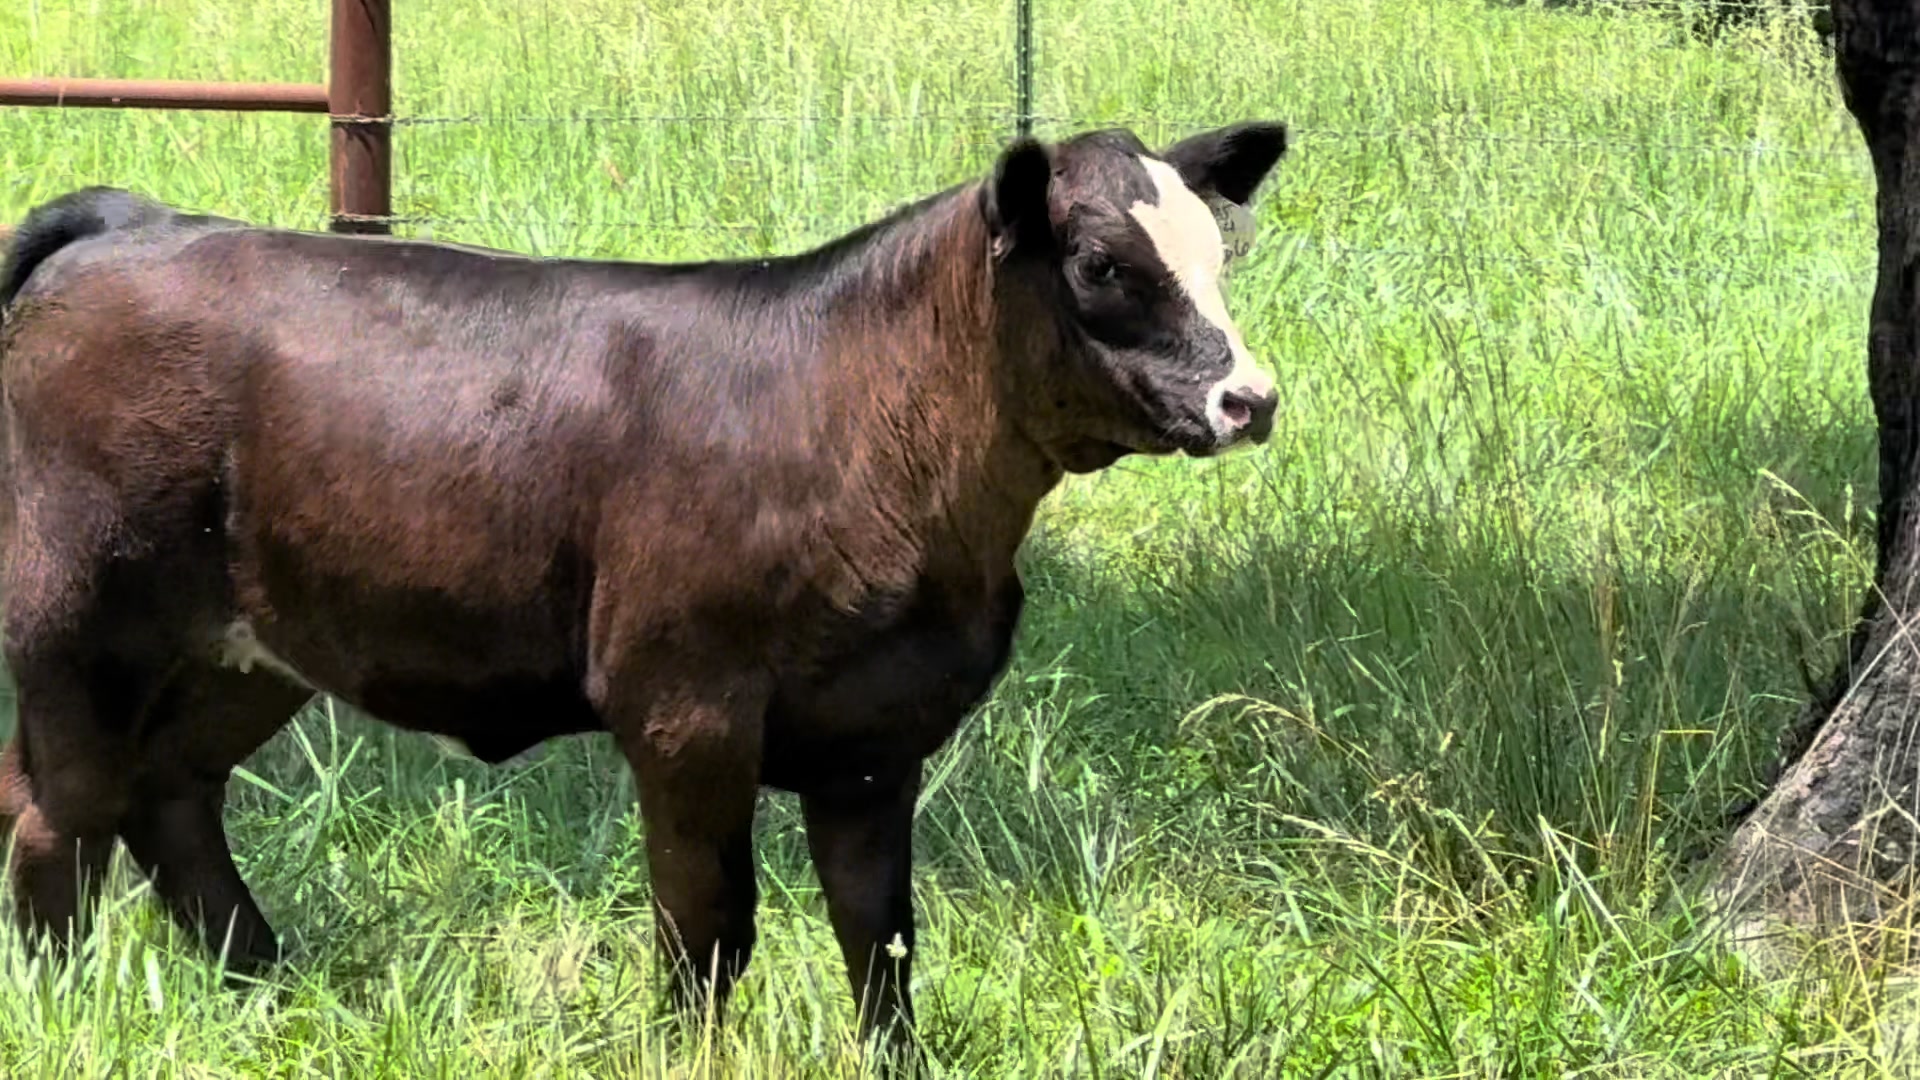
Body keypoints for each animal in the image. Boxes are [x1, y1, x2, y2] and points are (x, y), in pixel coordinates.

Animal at [0, 120, 1288, 1059]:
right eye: (1102, 264)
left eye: (1219, 258)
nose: (1251, 398)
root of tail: (136, 222)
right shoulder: (685, 711)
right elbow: (706, 925)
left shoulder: (877, 734)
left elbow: (879, 931)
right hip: (77, 620)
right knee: (57, 810)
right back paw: (58, 1002)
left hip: (245, 647)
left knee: (169, 794)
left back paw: (270, 983)